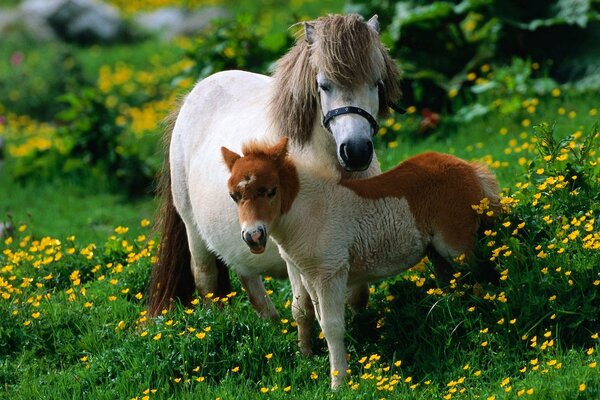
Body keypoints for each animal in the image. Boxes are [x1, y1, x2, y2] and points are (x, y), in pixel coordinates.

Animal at [146, 14, 404, 318]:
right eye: (324, 85)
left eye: (376, 83)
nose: (356, 151)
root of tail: (191, 97)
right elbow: (306, 306)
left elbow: (357, 296)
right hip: (193, 229)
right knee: (206, 279)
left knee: (247, 275)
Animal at [223, 137, 500, 388]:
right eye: (234, 196)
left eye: (271, 191)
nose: (253, 236)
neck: (310, 212)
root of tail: (470, 167)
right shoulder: (309, 276)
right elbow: (313, 317)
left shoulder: (331, 273)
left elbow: (333, 326)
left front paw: (339, 383)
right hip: (436, 252)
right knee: (452, 283)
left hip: (456, 246)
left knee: (482, 276)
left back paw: (487, 328)